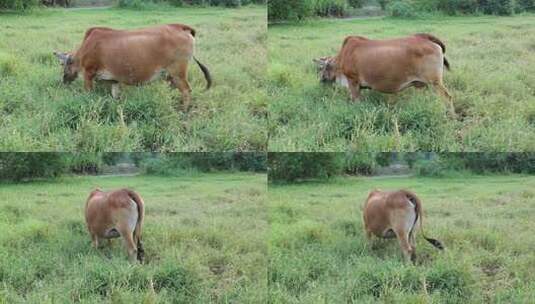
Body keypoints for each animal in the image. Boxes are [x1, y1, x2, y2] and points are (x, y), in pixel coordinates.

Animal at [54, 24, 211, 109]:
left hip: (177, 73)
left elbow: (88, 93)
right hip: (170, 75)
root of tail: (180, 27)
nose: (63, 80)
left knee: (186, 91)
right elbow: (115, 95)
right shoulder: (114, 80)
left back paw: (183, 110)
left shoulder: (88, 73)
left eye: (62, 64)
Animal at [312, 33, 454, 114]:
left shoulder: (353, 81)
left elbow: (356, 100)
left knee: (447, 98)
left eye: (321, 68)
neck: (342, 57)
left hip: (435, 82)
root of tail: (425, 37)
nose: (320, 81)